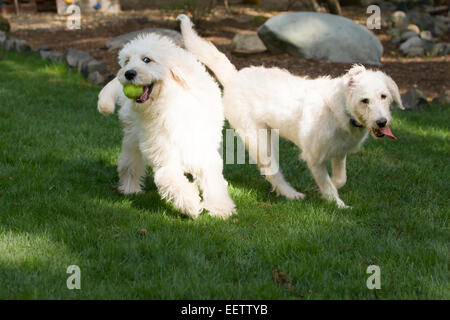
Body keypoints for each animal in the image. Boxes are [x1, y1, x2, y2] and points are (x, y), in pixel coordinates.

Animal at [96, 33, 236, 219]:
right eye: (127, 61)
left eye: (146, 59)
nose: (128, 73)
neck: (167, 103)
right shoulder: (163, 154)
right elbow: (168, 178)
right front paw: (190, 204)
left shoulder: (203, 152)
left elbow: (213, 180)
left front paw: (220, 208)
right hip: (132, 136)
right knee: (128, 162)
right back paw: (130, 188)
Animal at [178, 15, 404, 208]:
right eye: (365, 100)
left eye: (384, 96)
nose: (382, 122)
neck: (341, 111)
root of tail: (234, 77)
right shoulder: (314, 157)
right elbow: (328, 185)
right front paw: (338, 205)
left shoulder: (339, 153)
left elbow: (340, 179)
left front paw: (323, 190)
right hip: (259, 140)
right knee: (271, 171)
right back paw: (290, 194)